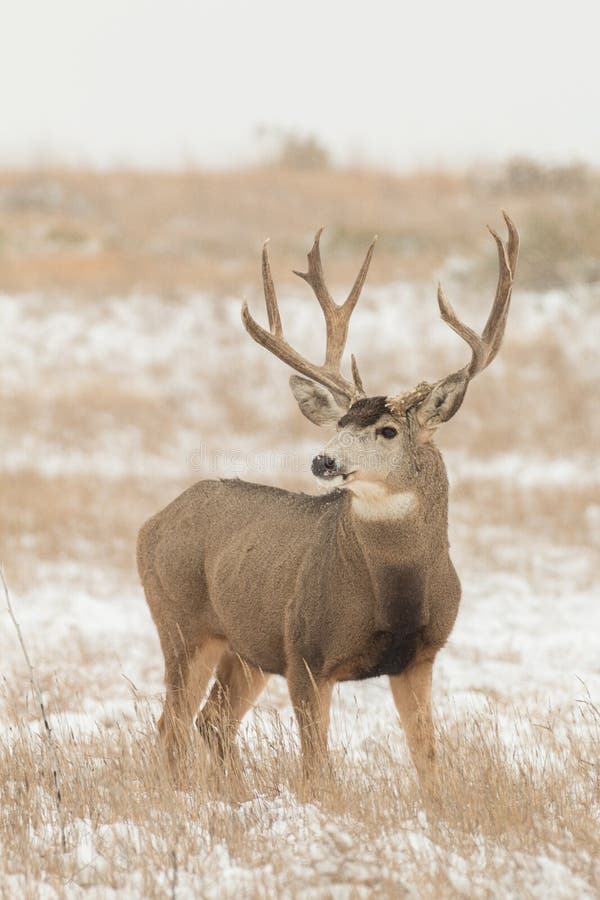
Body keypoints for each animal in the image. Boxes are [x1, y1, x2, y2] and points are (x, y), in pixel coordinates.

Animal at [137, 213, 519, 790]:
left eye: (387, 430)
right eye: (340, 422)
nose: (323, 460)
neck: (393, 589)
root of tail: (152, 523)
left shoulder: (420, 657)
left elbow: (428, 760)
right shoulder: (307, 653)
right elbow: (317, 767)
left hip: (246, 645)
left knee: (212, 721)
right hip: (183, 623)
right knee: (173, 723)